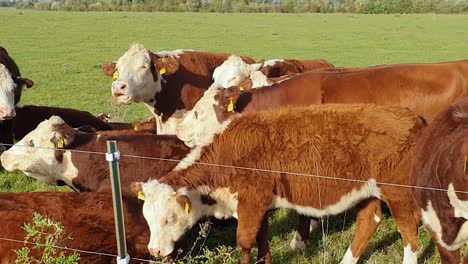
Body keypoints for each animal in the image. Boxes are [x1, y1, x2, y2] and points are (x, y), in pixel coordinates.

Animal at [133, 104, 424, 264]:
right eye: (147, 218)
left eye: (169, 219)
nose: (154, 250)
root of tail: (411, 117)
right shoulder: (257, 204)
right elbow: (262, 240)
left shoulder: (251, 202)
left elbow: (244, 242)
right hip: (366, 191)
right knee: (369, 221)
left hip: (398, 193)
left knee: (409, 231)